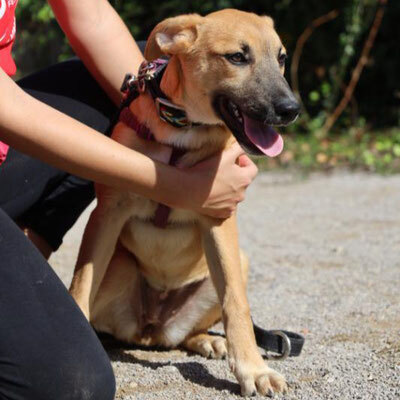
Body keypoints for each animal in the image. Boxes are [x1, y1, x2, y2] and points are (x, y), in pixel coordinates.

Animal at [69, 9, 300, 396]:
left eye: (281, 58)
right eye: (237, 57)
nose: (291, 109)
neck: (185, 132)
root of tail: (151, 328)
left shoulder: (219, 218)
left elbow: (237, 304)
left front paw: (254, 370)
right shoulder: (107, 213)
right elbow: (80, 284)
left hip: (237, 264)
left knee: (190, 332)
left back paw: (210, 340)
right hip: (119, 269)